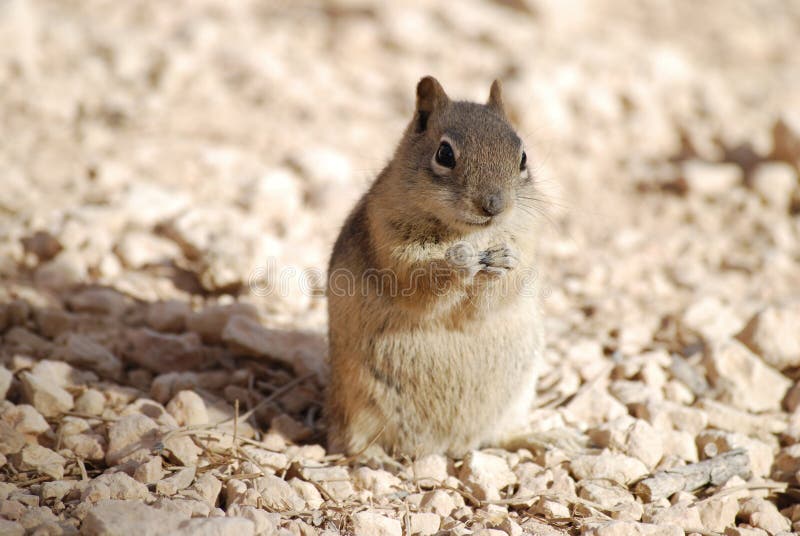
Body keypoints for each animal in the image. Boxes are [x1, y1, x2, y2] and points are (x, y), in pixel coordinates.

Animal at [324, 77, 544, 458]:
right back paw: (375, 458)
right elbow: (422, 284)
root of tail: (447, 446)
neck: (470, 233)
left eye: (523, 157)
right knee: (348, 443)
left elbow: (500, 292)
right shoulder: (392, 247)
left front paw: (502, 261)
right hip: (359, 405)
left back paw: (539, 439)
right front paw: (459, 261)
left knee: (495, 436)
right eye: (445, 154)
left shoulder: (526, 246)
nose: (494, 205)